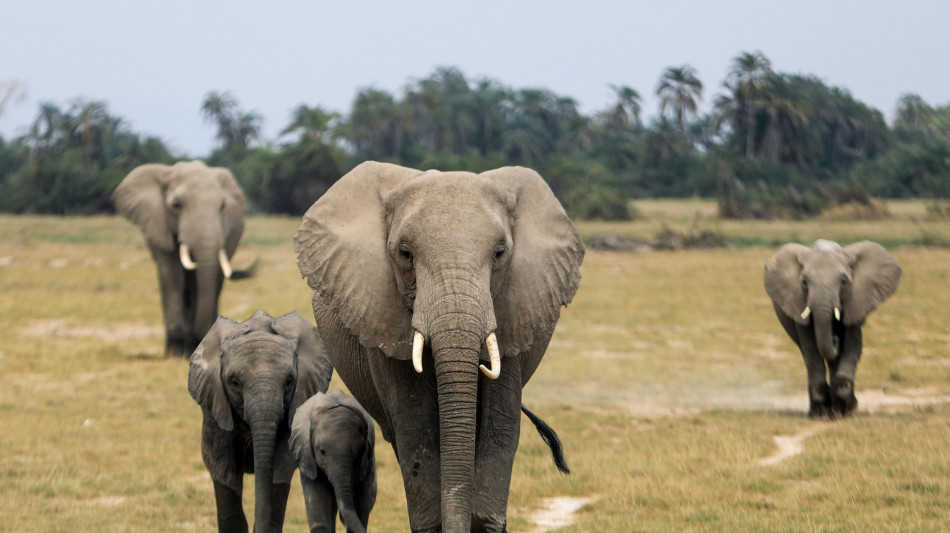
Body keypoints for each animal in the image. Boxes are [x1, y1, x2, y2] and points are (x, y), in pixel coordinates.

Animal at [112, 160, 251, 358]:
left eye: (222, 207)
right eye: (176, 205)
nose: (197, 336)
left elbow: (209, 280)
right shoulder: (159, 225)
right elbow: (172, 274)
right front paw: (176, 352)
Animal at [290, 389, 377, 533]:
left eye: (360, 452)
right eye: (322, 452)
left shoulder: (366, 463)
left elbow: (361, 511)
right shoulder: (308, 458)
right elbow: (319, 515)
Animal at [764, 239, 901, 418]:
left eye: (844, 281)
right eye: (804, 282)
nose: (835, 338)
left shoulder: (856, 300)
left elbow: (852, 344)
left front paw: (844, 411)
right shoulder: (798, 301)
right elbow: (811, 348)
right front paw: (821, 414)